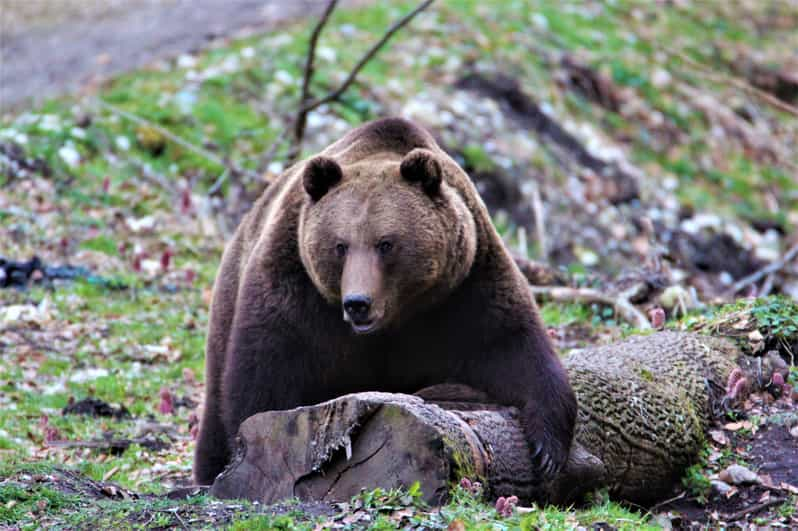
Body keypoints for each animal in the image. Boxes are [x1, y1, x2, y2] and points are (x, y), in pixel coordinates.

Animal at [196, 118, 580, 488]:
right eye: (340, 245)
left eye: (386, 243)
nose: (357, 303)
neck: (396, 319)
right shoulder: (295, 286)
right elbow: (267, 369)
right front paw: (258, 446)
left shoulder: (466, 286)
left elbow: (512, 346)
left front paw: (547, 449)